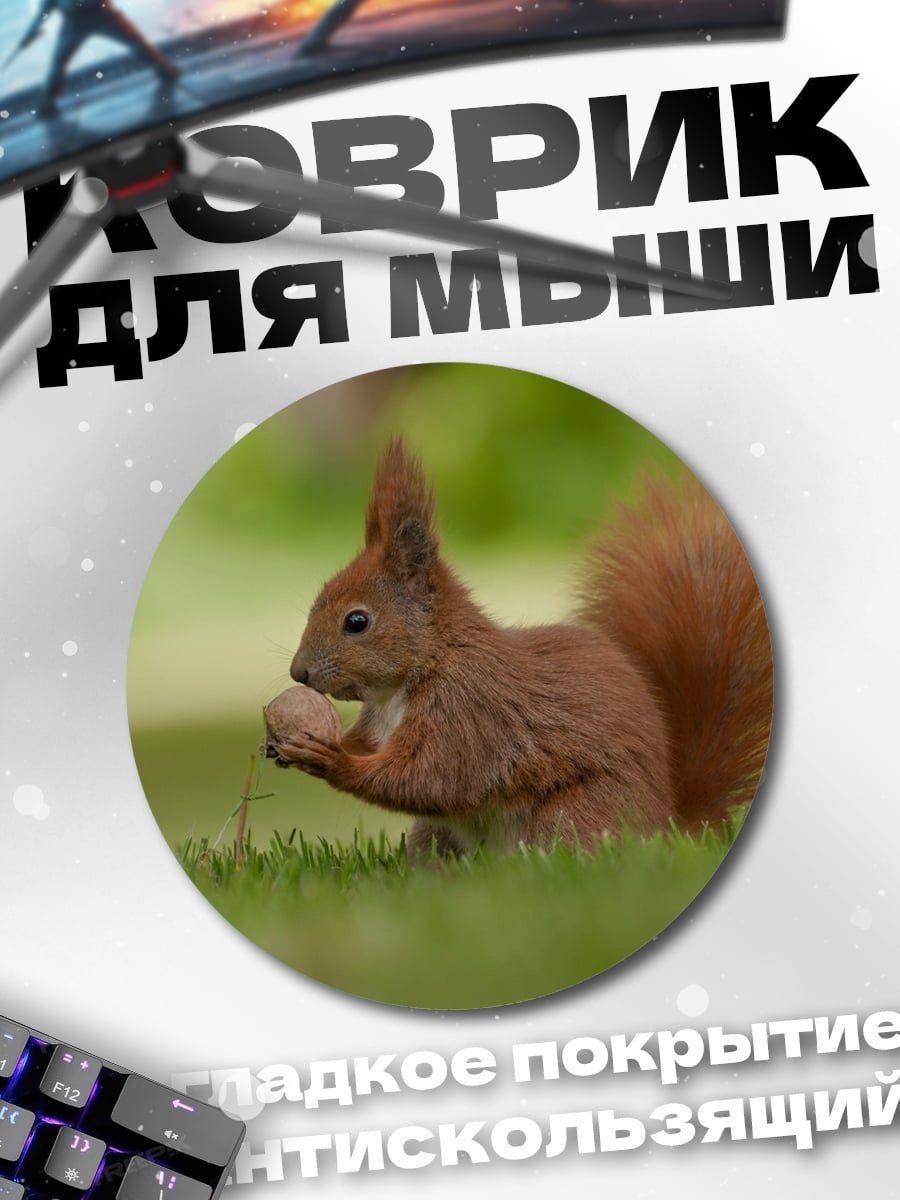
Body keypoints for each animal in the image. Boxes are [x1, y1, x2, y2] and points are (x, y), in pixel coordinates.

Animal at [266, 438, 774, 859]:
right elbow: (374, 749)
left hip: (570, 817)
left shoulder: (470, 714)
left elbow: (430, 780)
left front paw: (332, 760)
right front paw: (286, 742)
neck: (419, 672)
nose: (298, 674)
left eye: (357, 621)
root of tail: (666, 824)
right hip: (435, 836)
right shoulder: (382, 723)